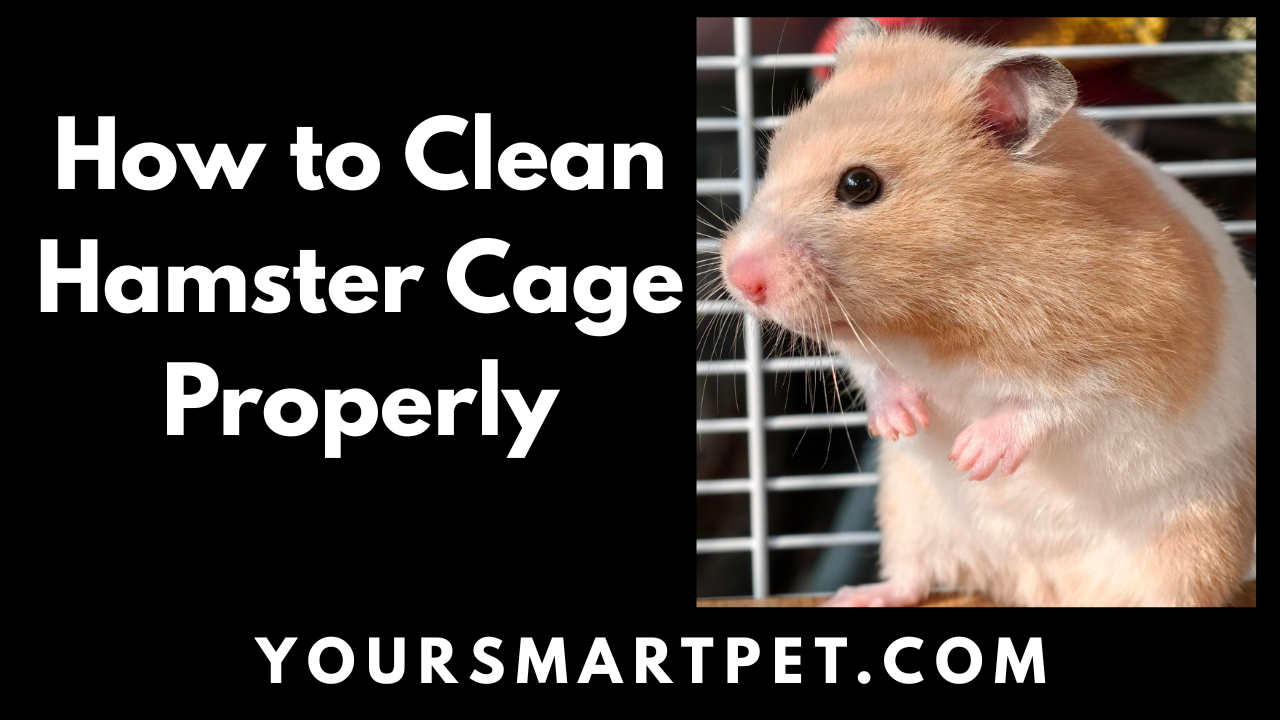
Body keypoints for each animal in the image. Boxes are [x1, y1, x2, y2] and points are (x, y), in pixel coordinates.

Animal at [718, 18, 1256, 606]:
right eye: (776, 155)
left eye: (859, 185)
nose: (739, 278)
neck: (937, 315)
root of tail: (1034, 583)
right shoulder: (867, 345)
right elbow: (874, 371)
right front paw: (905, 423)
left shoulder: (1139, 342)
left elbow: (1059, 402)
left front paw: (970, 455)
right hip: (908, 511)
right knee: (913, 576)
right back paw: (857, 596)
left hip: (1195, 540)